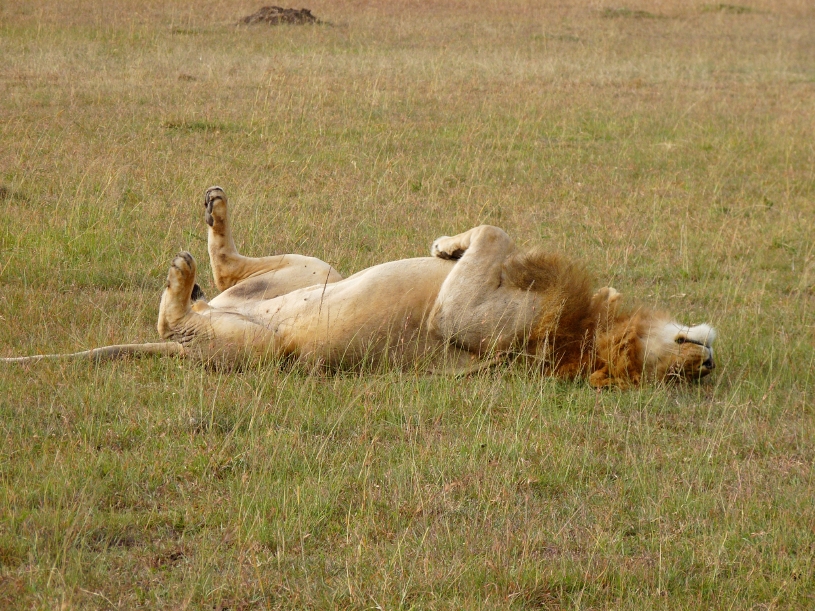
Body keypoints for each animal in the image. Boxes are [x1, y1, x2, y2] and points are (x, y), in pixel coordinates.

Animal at [2, 186, 716, 388]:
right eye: (683, 361)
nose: (707, 362)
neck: (587, 334)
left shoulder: (467, 320)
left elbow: (496, 230)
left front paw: (453, 243)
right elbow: (497, 233)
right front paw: (446, 245)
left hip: (259, 348)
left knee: (174, 320)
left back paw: (182, 281)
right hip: (317, 274)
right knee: (231, 270)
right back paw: (213, 216)